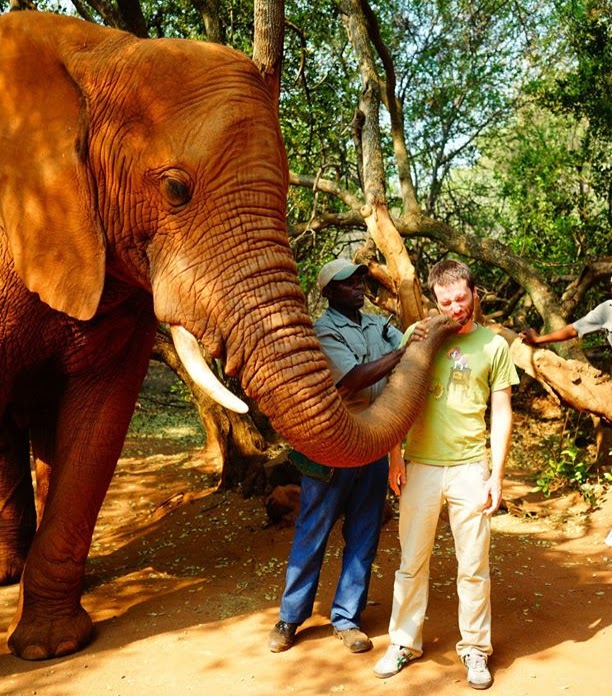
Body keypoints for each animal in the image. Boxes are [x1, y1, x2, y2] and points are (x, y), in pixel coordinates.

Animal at [0, 12, 460, 664]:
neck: (96, 52)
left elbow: (98, 421)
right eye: (175, 190)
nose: (444, 315)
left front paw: (50, 644)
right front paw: (51, 651)